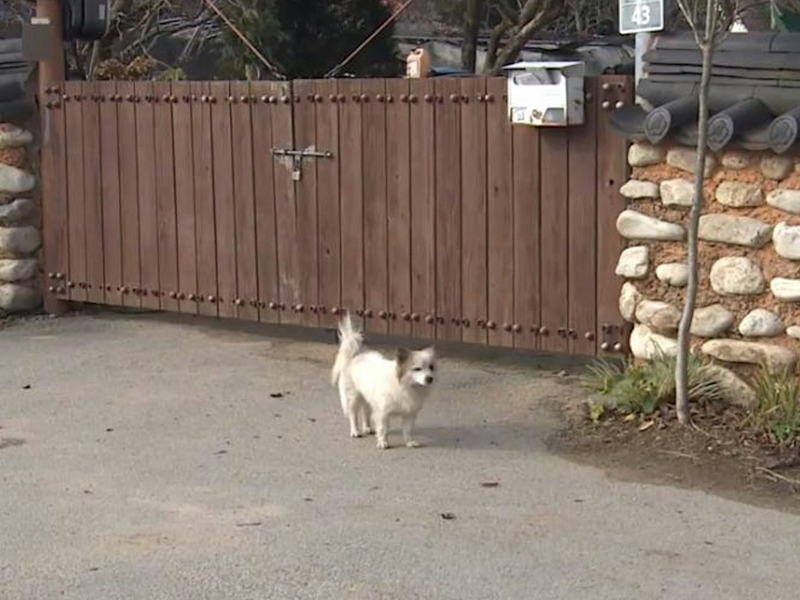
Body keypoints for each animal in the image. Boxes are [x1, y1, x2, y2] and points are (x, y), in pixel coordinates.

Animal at [332, 314, 438, 450]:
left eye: (431, 368)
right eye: (417, 369)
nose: (430, 378)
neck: (405, 386)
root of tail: (355, 356)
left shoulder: (409, 414)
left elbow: (408, 430)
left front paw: (409, 442)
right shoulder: (383, 413)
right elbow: (384, 429)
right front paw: (383, 442)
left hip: (367, 397)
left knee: (365, 412)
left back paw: (367, 428)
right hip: (353, 398)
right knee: (353, 415)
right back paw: (355, 431)